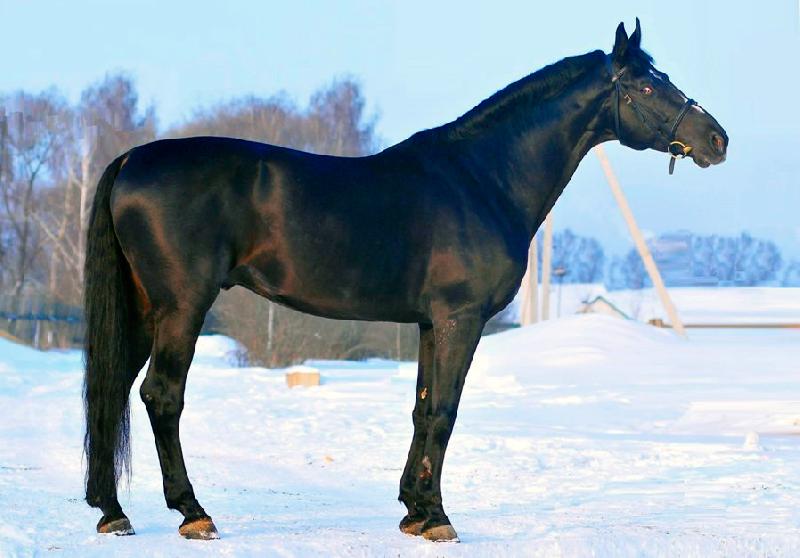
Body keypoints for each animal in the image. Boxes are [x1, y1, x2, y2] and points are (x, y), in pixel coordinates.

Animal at [83, 19, 727, 542]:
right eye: (647, 86)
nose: (717, 139)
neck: (482, 179)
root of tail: (133, 159)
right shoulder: (460, 319)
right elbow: (444, 411)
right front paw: (438, 519)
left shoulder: (428, 323)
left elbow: (421, 410)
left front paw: (413, 511)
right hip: (182, 306)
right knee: (160, 396)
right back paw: (193, 513)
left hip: (144, 309)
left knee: (110, 389)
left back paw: (113, 512)